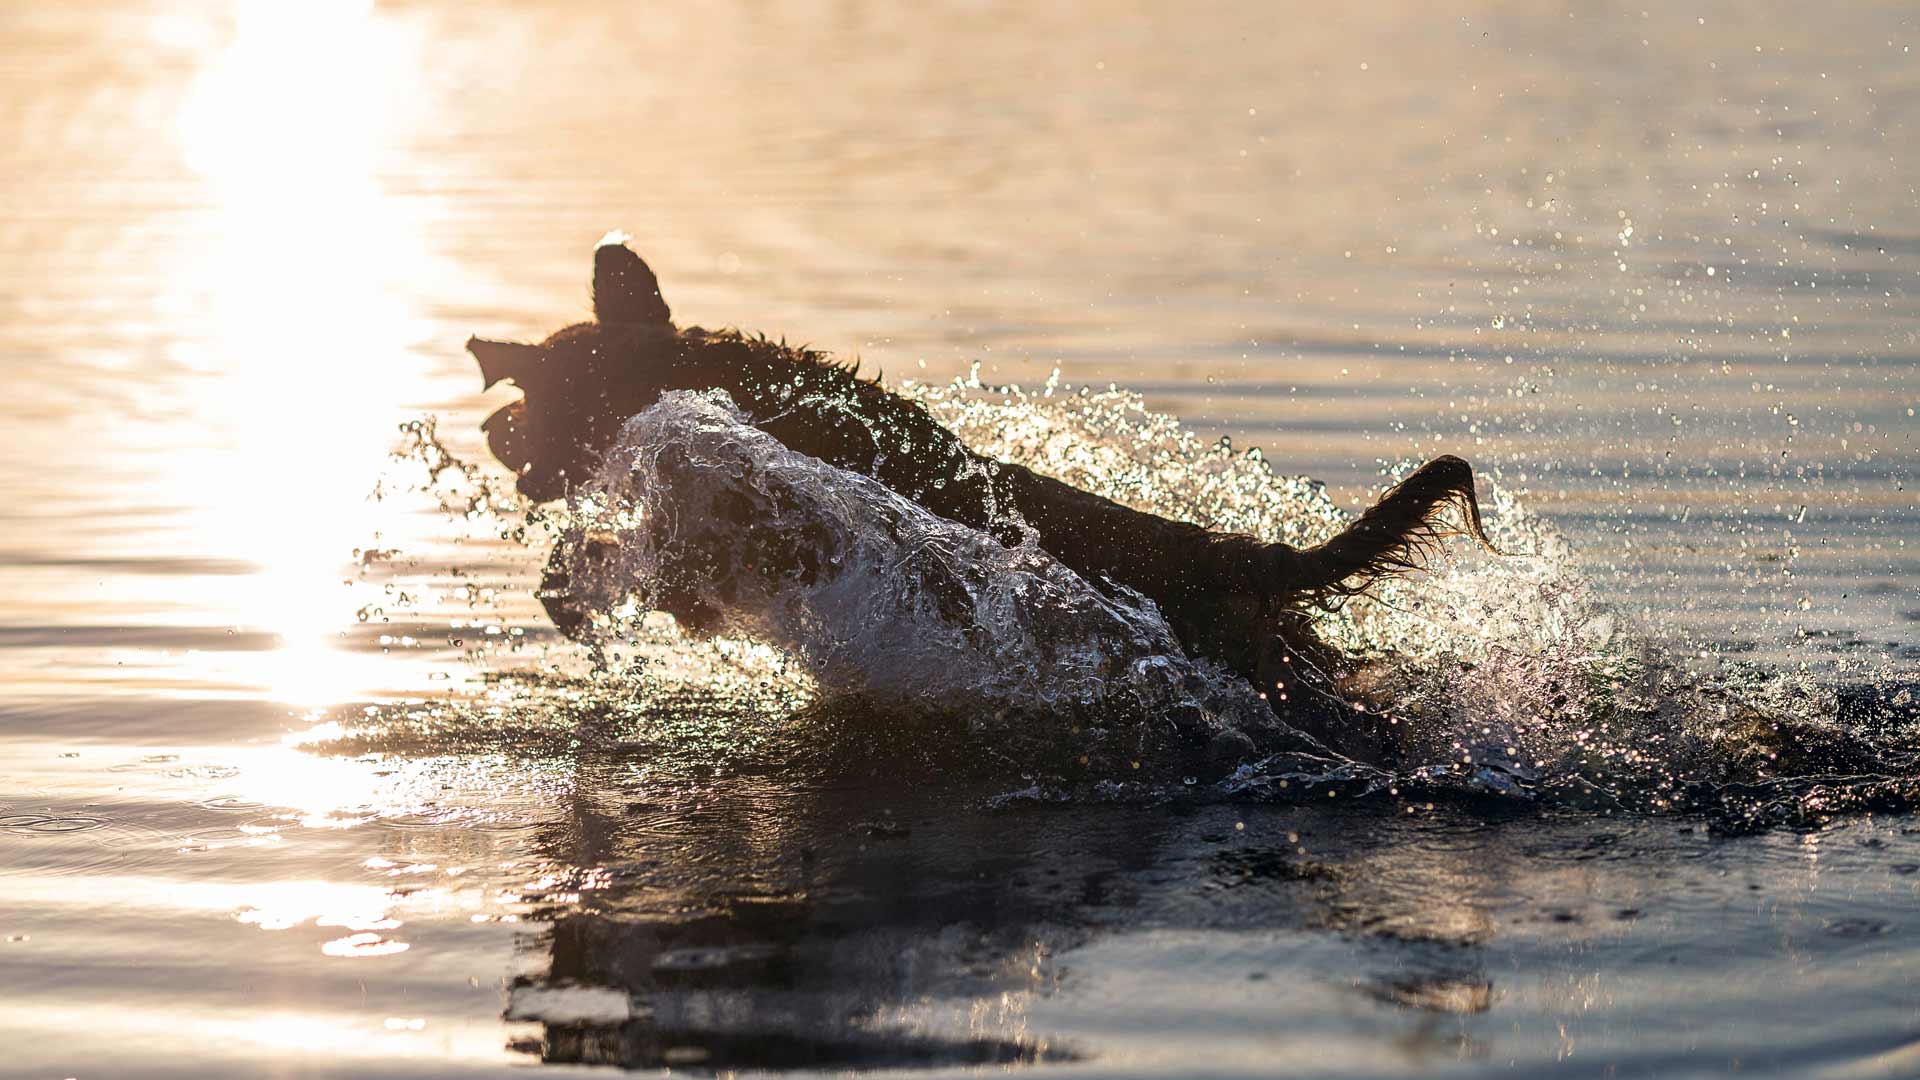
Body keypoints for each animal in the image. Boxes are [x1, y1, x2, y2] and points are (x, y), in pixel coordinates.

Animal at [472, 237, 1489, 707]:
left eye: (533, 395)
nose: (486, 426)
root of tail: (1240, 553)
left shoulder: (760, 536)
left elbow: (628, 564)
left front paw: (572, 589)